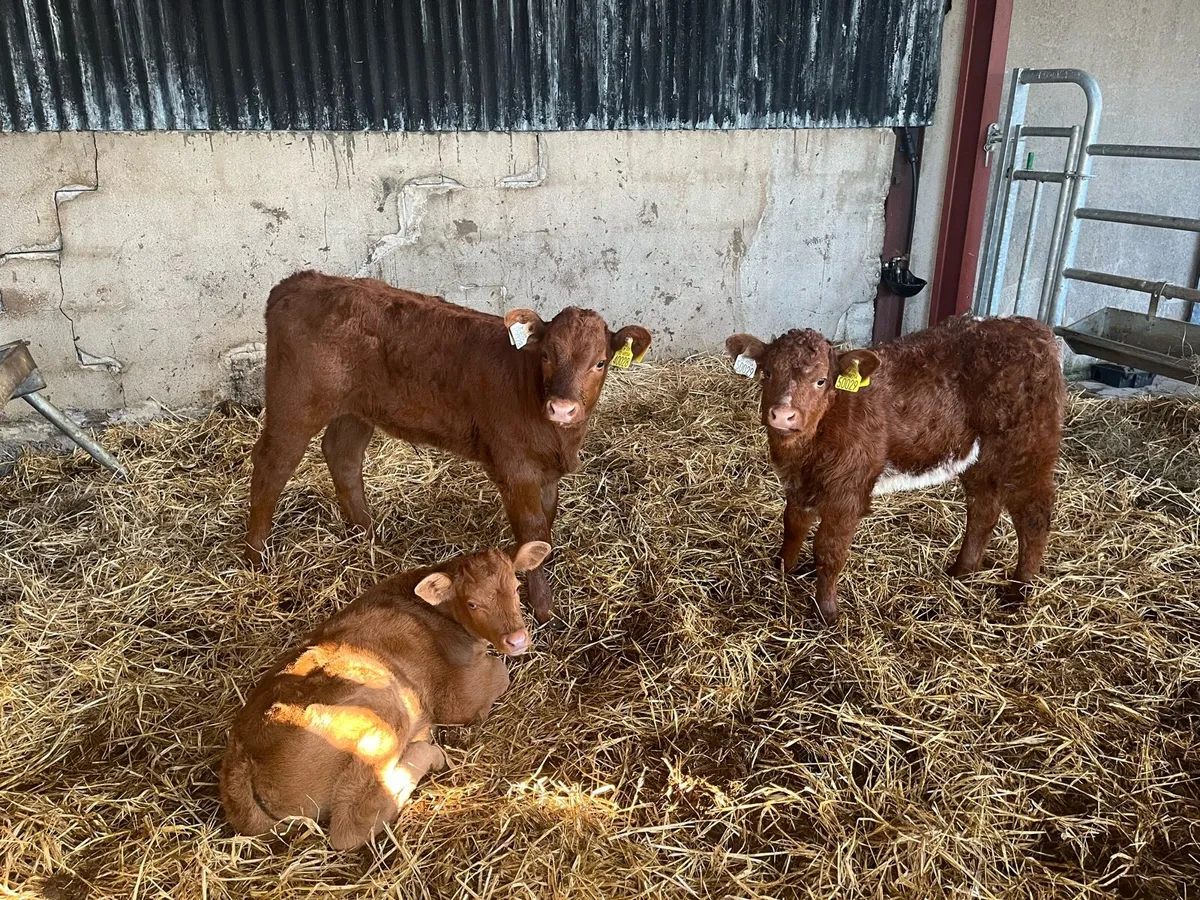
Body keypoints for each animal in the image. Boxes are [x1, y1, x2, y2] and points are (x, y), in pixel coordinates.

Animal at [220, 541, 552, 850]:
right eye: (472, 603)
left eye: (516, 587)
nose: (517, 639)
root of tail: (241, 759)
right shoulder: (457, 698)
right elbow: (500, 674)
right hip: (381, 716)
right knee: (350, 827)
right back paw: (428, 752)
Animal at [245, 270, 651, 623]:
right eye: (547, 356)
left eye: (601, 362)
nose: (563, 408)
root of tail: (301, 281)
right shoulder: (515, 467)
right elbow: (533, 530)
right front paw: (542, 608)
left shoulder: (547, 470)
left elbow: (546, 528)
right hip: (295, 402)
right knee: (271, 464)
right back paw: (255, 556)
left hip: (357, 408)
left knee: (342, 454)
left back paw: (367, 534)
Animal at [726, 315, 1065, 623]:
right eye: (767, 372)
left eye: (821, 380)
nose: (783, 415)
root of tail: (1032, 328)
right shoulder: (798, 483)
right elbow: (794, 525)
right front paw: (781, 570)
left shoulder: (847, 491)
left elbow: (829, 550)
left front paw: (827, 613)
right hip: (979, 456)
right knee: (984, 507)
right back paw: (961, 571)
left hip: (1027, 446)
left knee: (1033, 516)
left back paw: (1019, 590)